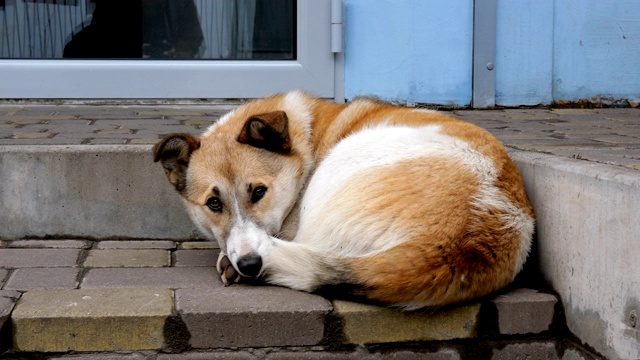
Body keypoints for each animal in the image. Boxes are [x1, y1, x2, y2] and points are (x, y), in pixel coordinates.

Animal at [152, 90, 532, 310]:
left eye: (259, 192)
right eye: (214, 204)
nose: (249, 264)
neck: (305, 141)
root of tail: (459, 243)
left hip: (341, 166)